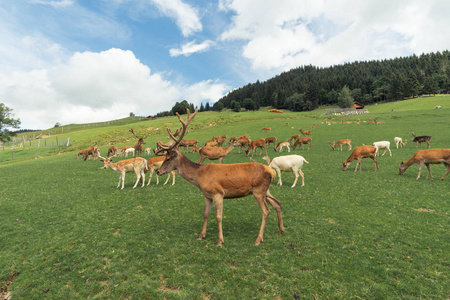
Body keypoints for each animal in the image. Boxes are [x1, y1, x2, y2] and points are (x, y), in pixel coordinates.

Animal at [153, 109, 284, 246]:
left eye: (168, 158)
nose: (159, 172)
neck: (199, 177)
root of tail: (272, 171)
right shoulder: (207, 195)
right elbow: (205, 214)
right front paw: (201, 236)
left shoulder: (218, 193)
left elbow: (218, 216)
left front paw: (220, 240)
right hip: (265, 190)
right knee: (277, 203)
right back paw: (280, 230)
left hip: (258, 190)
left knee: (266, 211)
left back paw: (258, 239)